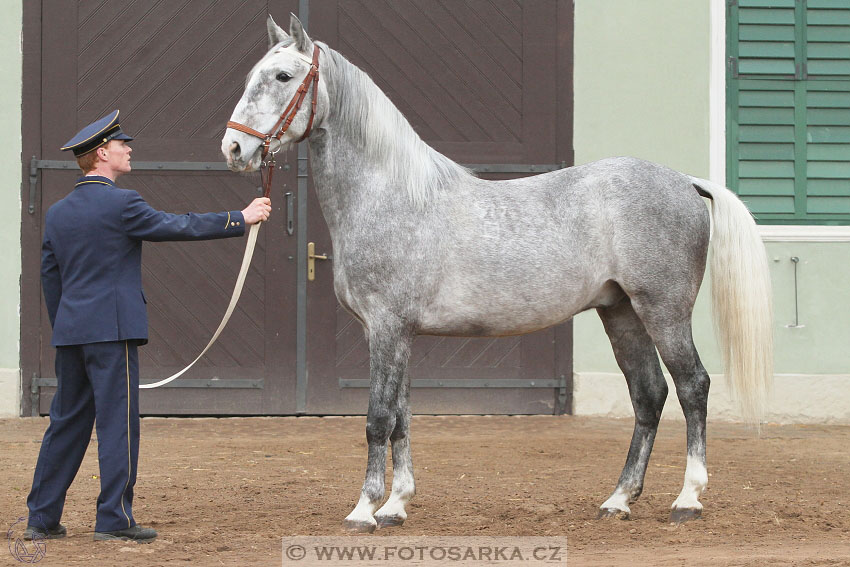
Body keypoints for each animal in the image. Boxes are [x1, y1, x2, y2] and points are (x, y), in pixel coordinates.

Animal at [222, 14, 772, 532]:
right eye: (250, 76)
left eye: (283, 75)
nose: (234, 149)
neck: (393, 196)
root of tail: (685, 181)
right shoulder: (398, 334)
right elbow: (401, 416)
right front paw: (396, 506)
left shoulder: (386, 327)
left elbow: (378, 418)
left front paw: (364, 511)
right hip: (621, 313)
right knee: (649, 394)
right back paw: (618, 501)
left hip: (664, 311)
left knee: (692, 387)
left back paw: (688, 499)